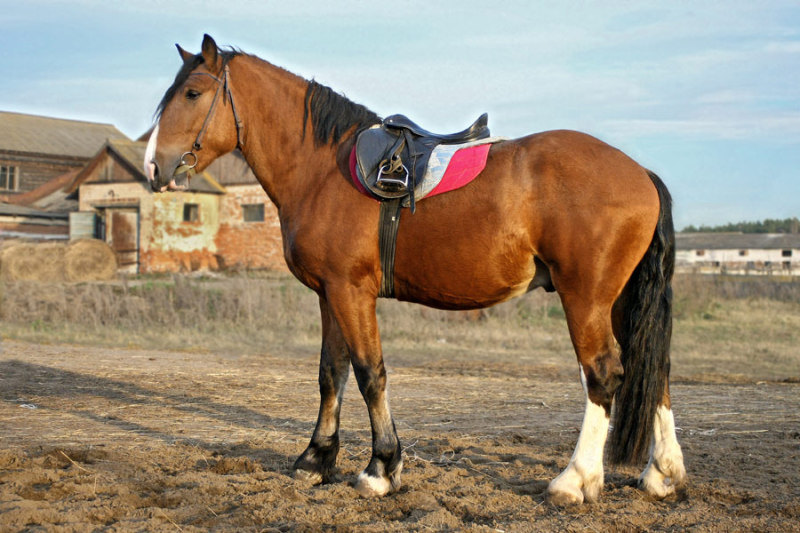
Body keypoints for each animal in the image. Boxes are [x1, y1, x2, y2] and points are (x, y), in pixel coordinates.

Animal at [145, 34, 688, 502]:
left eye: (192, 93)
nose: (153, 167)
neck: (321, 168)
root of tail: (641, 173)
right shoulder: (328, 293)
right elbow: (330, 374)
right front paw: (316, 460)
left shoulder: (351, 291)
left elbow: (370, 373)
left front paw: (381, 468)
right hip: (619, 299)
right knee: (655, 369)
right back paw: (661, 474)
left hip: (586, 297)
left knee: (603, 373)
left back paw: (575, 481)